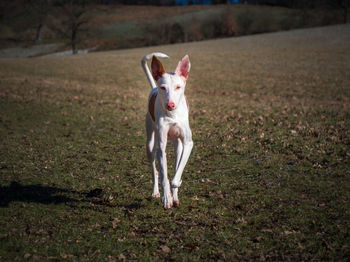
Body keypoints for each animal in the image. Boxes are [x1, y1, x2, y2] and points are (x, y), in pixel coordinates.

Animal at [141, 52, 193, 209]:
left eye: (178, 87)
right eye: (163, 88)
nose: (170, 105)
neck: (172, 115)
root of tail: (153, 87)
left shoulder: (188, 143)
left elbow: (177, 174)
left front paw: (175, 187)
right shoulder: (161, 149)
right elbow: (164, 176)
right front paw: (166, 198)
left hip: (178, 145)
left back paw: (175, 196)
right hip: (150, 144)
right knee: (155, 171)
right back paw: (156, 192)